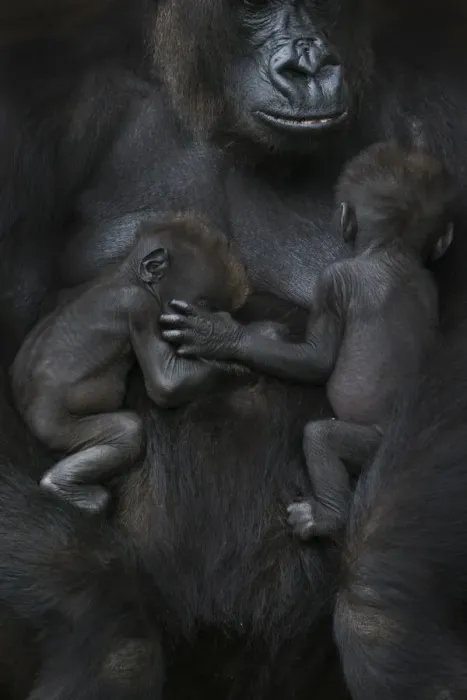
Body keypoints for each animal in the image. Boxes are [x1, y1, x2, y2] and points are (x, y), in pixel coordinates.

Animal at [11, 214, 249, 515]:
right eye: (204, 305)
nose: (208, 322)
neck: (127, 277)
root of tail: (26, 414)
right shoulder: (140, 306)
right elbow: (166, 384)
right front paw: (235, 361)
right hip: (54, 427)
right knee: (127, 431)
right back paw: (64, 487)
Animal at [160, 143, 456, 539]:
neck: (391, 250)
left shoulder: (333, 281)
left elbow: (316, 361)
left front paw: (221, 336)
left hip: (369, 440)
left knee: (321, 438)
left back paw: (326, 517)